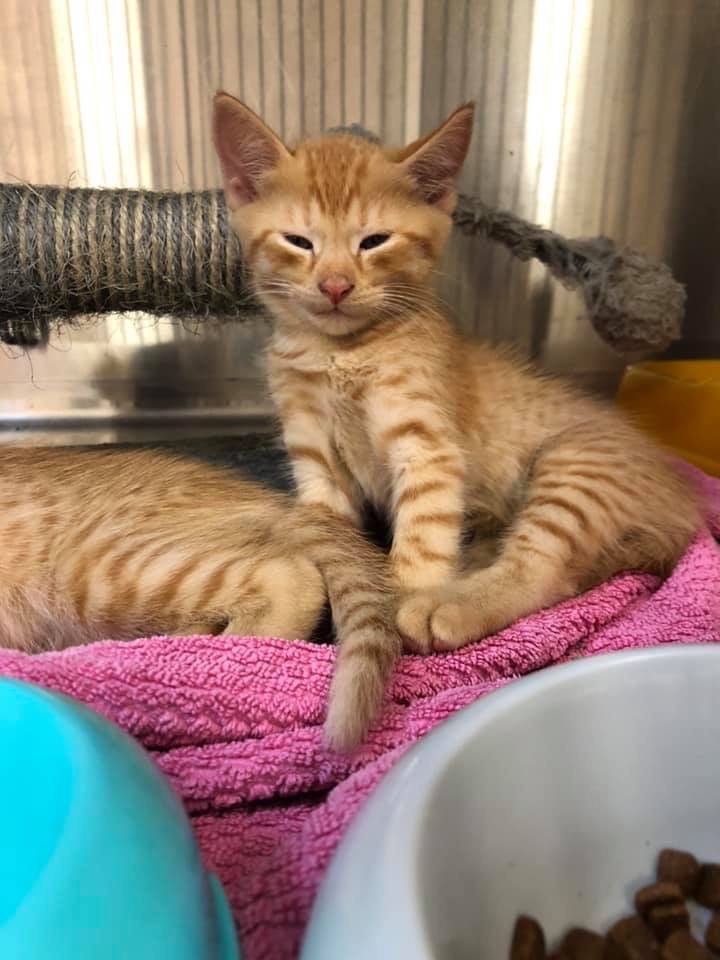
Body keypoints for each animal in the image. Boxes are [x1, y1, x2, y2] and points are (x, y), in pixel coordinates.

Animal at [212, 90, 702, 657]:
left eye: (374, 241)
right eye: (298, 241)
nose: (336, 286)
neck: (339, 352)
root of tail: (685, 501)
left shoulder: (429, 448)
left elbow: (422, 538)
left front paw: (399, 606)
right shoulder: (314, 454)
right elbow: (332, 532)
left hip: (577, 468)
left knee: (543, 571)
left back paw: (450, 604)